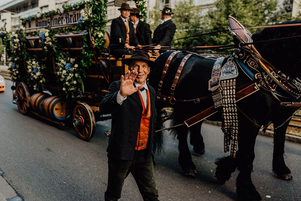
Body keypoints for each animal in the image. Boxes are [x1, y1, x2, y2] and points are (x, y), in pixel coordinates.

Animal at [148, 20, 300, 201]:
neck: (262, 73)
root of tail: (163, 56)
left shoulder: (281, 118)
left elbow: (276, 144)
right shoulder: (251, 121)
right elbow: (247, 155)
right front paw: (247, 189)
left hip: (188, 107)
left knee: (185, 129)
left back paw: (192, 154)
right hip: (159, 102)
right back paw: (181, 163)